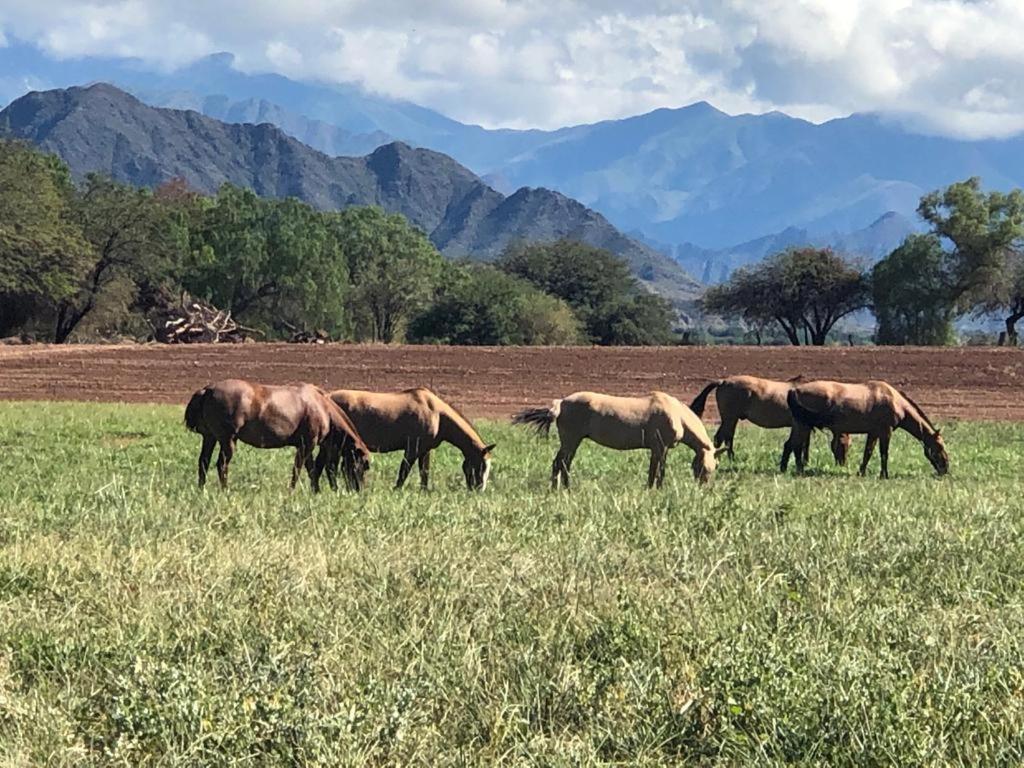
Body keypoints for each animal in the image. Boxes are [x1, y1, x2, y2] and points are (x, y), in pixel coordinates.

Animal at [186, 378, 370, 493]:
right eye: (361, 466)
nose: (359, 490)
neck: (322, 407)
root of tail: (208, 390)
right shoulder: (307, 444)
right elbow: (298, 469)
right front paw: (292, 491)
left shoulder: (305, 446)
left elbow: (311, 470)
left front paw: (315, 491)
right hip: (228, 440)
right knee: (221, 465)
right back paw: (225, 491)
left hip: (210, 438)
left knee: (203, 462)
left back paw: (201, 490)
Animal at [329, 387, 493, 489]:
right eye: (482, 465)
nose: (479, 489)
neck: (437, 414)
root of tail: (327, 397)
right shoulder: (413, 449)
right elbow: (404, 470)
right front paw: (397, 489)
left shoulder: (425, 451)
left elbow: (424, 472)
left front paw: (424, 491)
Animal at [512, 393, 720, 489]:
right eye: (703, 468)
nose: (702, 488)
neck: (675, 413)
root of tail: (560, 403)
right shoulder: (661, 448)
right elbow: (660, 471)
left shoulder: (656, 449)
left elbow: (653, 470)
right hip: (571, 441)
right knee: (561, 463)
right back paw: (563, 488)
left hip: (571, 443)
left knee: (562, 464)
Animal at [692, 376, 851, 473]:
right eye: (843, 445)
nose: (842, 464)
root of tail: (723, 381)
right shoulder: (801, 425)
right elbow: (801, 445)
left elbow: (804, 444)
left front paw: (805, 462)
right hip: (730, 418)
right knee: (725, 438)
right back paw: (731, 459)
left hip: (730, 419)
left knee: (723, 437)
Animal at [786, 380, 946, 479]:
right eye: (939, 446)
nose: (945, 468)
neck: (896, 402)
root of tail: (794, 390)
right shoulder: (885, 431)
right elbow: (884, 454)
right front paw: (884, 475)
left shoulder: (874, 433)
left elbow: (867, 453)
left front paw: (861, 472)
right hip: (803, 426)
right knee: (796, 446)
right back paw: (799, 470)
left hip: (800, 426)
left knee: (790, 445)